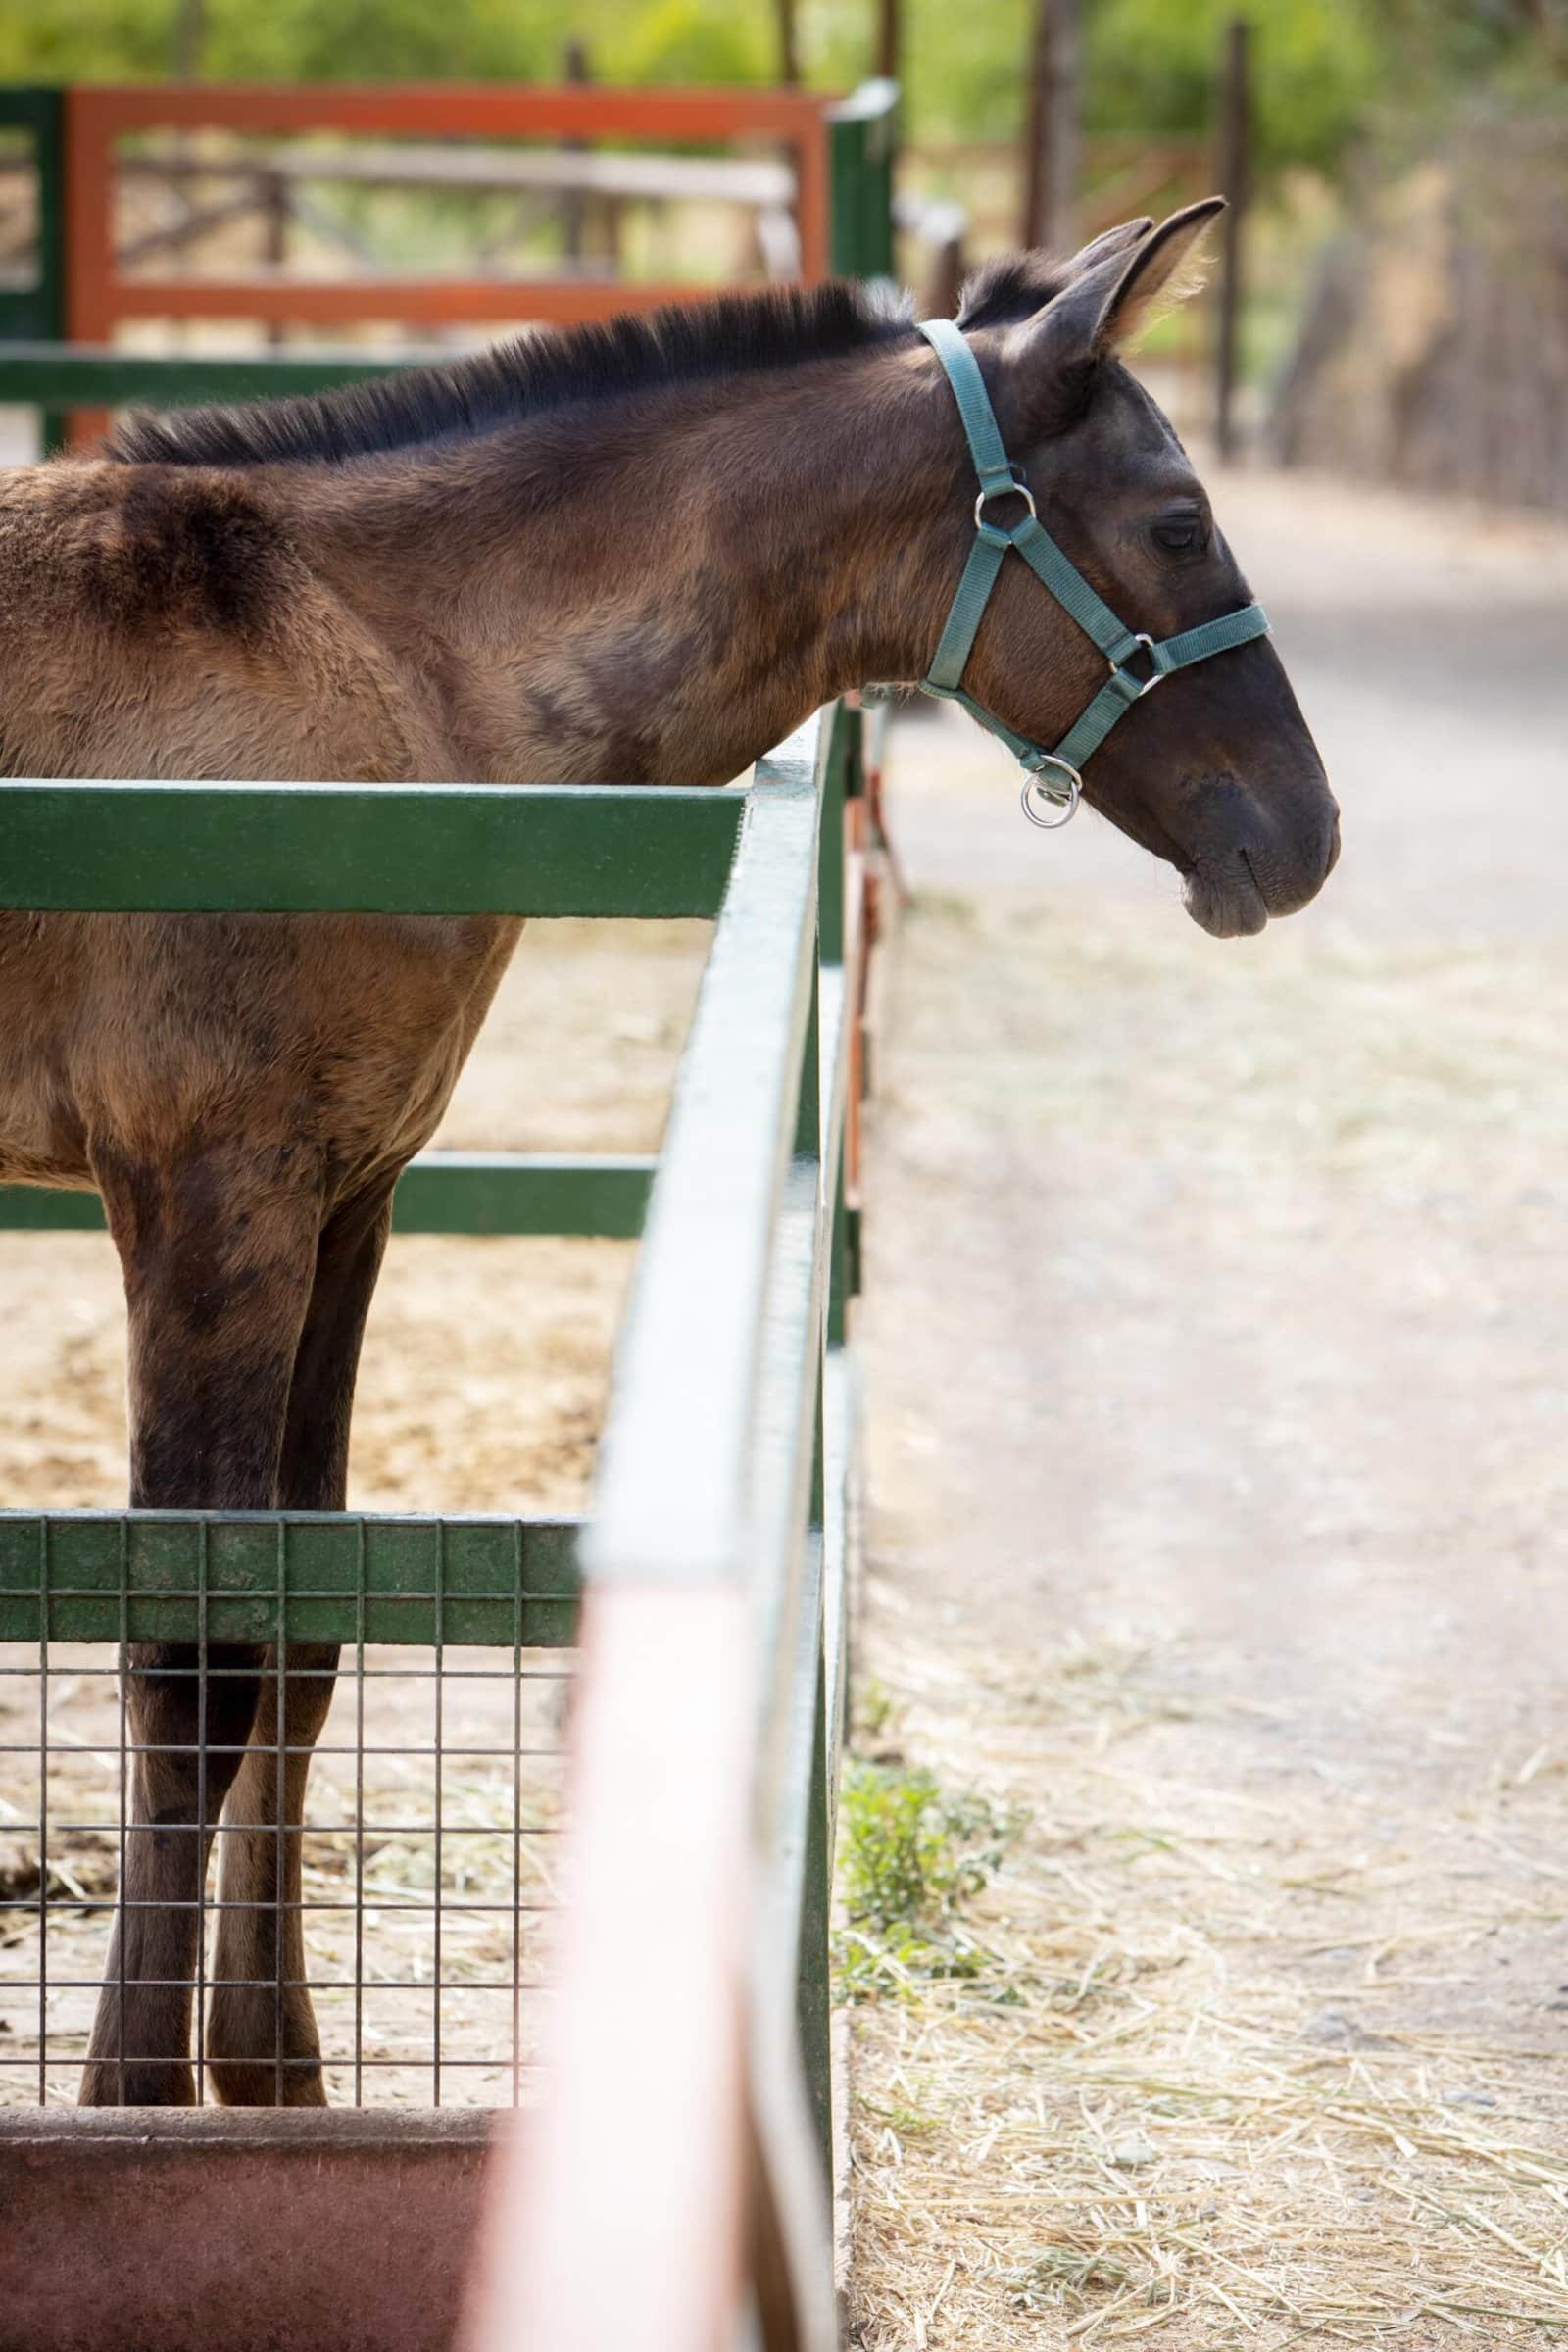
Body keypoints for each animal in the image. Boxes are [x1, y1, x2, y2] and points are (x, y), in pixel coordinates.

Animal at [0, 199, 1338, 2107]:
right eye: (1177, 519)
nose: (1305, 833)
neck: (388, 678)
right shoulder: (205, 1195)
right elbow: (189, 1660)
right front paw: (134, 2105)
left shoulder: (345, 1196)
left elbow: (303, 1627)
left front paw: (273, 2084)